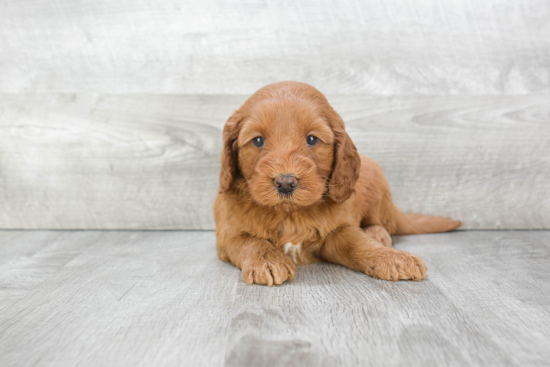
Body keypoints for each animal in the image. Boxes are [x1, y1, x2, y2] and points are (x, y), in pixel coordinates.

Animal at [213, 82, 464, 286]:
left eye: (312, 139)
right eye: (257, 140)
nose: (285, 182)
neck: (290, 215)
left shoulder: (338, 230)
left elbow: (358, 243)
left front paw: (392, 258)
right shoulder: (227, 235)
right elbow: (251, 242)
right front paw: (267, 260)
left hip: (377, 187)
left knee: (383, 223)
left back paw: (379, 236)